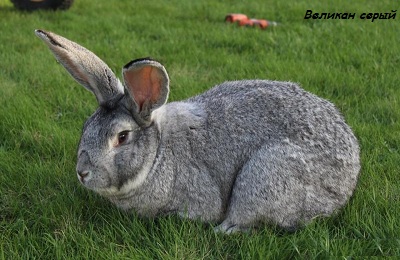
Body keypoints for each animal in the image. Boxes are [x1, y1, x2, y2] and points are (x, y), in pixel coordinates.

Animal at [36, 30, 360, 234]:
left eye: (122, 137)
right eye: (86, 128)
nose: (82, 172)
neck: (157, 154)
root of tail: (350, 176)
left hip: (269, 172)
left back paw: (224, 230)